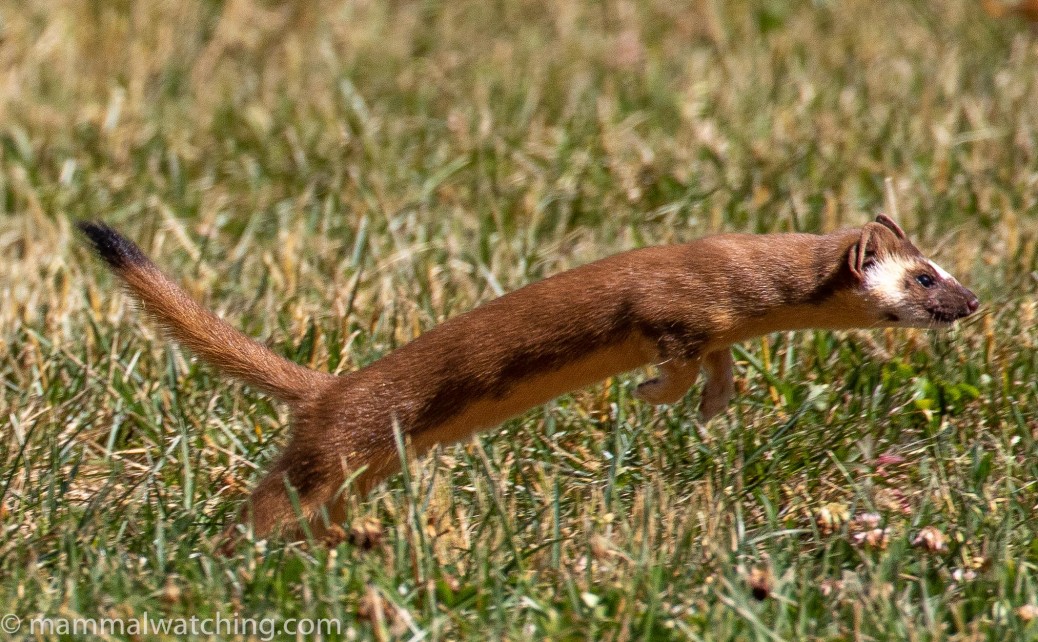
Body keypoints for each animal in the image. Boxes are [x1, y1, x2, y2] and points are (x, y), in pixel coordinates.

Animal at [80, 215, 979, 540]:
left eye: (942, 264)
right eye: (923, 277)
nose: (972, 301)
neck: (739, 277)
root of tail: (325, 387)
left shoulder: (717, 325)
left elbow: (719, 365)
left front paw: (710, 404)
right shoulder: (672, 305)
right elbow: (675, 352)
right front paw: (654, 393)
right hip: (335, 447)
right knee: (273, 499)